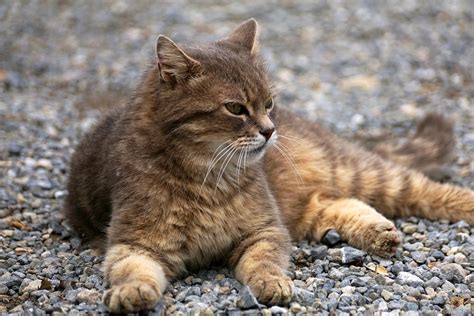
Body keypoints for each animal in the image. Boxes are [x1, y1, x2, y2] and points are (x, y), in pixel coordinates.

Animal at [64, 20, 474, 314]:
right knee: (339, 204)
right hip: (305, 208)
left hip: (355, 173)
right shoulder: (134, 242)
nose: (269, 129)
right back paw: (377, 231)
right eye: (235, 108)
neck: (207, 176)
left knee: (423, 189)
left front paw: (270, 284)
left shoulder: (265, 229)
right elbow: (131, 268)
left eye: (269, 103)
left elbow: (264, 262)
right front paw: (131, 292)